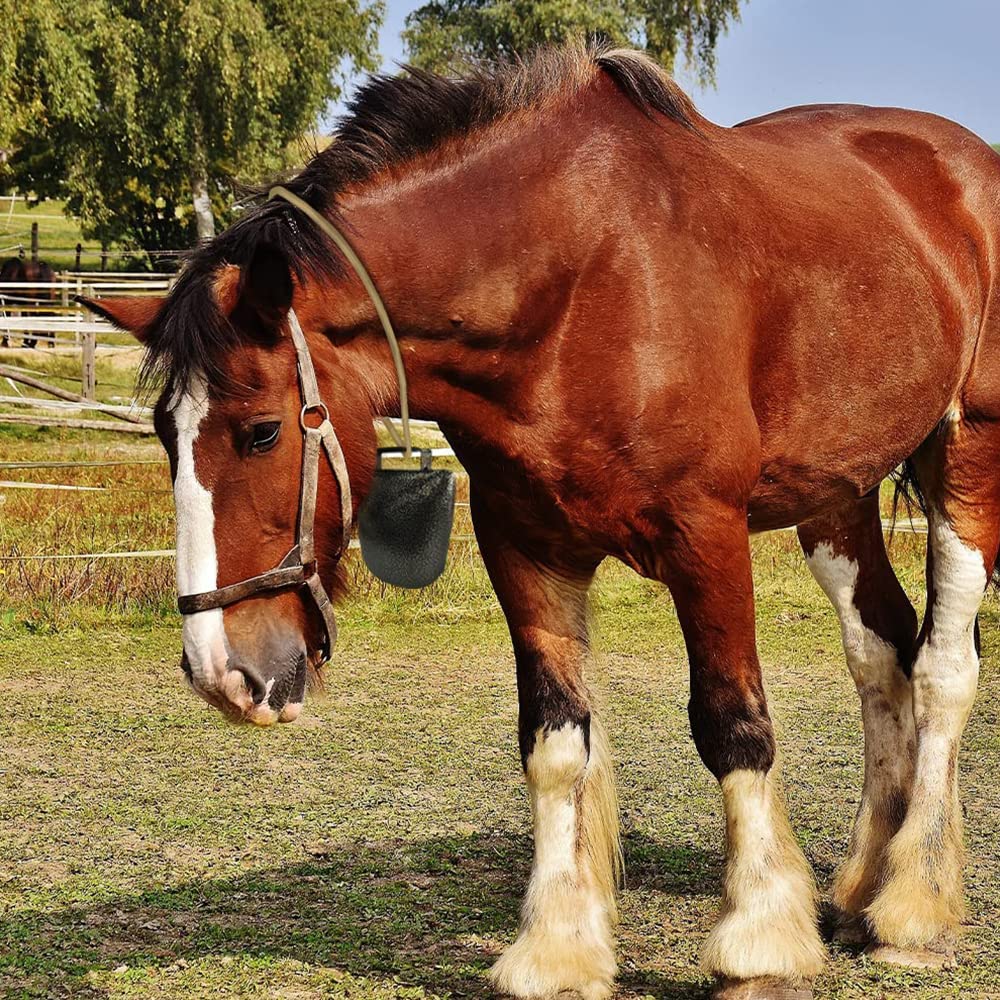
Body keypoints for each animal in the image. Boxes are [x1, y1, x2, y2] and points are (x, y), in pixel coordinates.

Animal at [83, 44, 1000, 1000]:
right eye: (165, 434)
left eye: (261, 431)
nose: (220, 673)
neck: (577, 285)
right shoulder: (525, 546)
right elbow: (556, 742)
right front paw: (560, 948)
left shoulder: (704, 535)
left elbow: (733, 725)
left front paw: (759, 943)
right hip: (834, 496)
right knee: (880, 654)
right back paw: (863, 889)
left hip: (968, 460)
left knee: (942, 667)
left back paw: (913, 908)